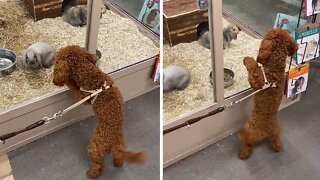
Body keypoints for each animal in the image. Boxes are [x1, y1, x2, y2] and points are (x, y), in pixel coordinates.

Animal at [52, 45, 145, 179]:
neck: (91, 74)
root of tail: (113, 145)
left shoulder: (83, 97)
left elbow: (72, 85)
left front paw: (68, 80)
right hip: (120, 146)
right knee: (118, 157)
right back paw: (118, 163)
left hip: (94, 148)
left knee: (98, 165)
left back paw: (91, 174)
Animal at [239, 28, 298, 160]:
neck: (274, 68)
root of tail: (267, 130)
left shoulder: (256, 80)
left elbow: (253, 66)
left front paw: (247, 59)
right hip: (276, 130)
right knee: (276, 140)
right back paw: (277, 147)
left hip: (250, 129)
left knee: (248, 143)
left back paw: (243, 153)